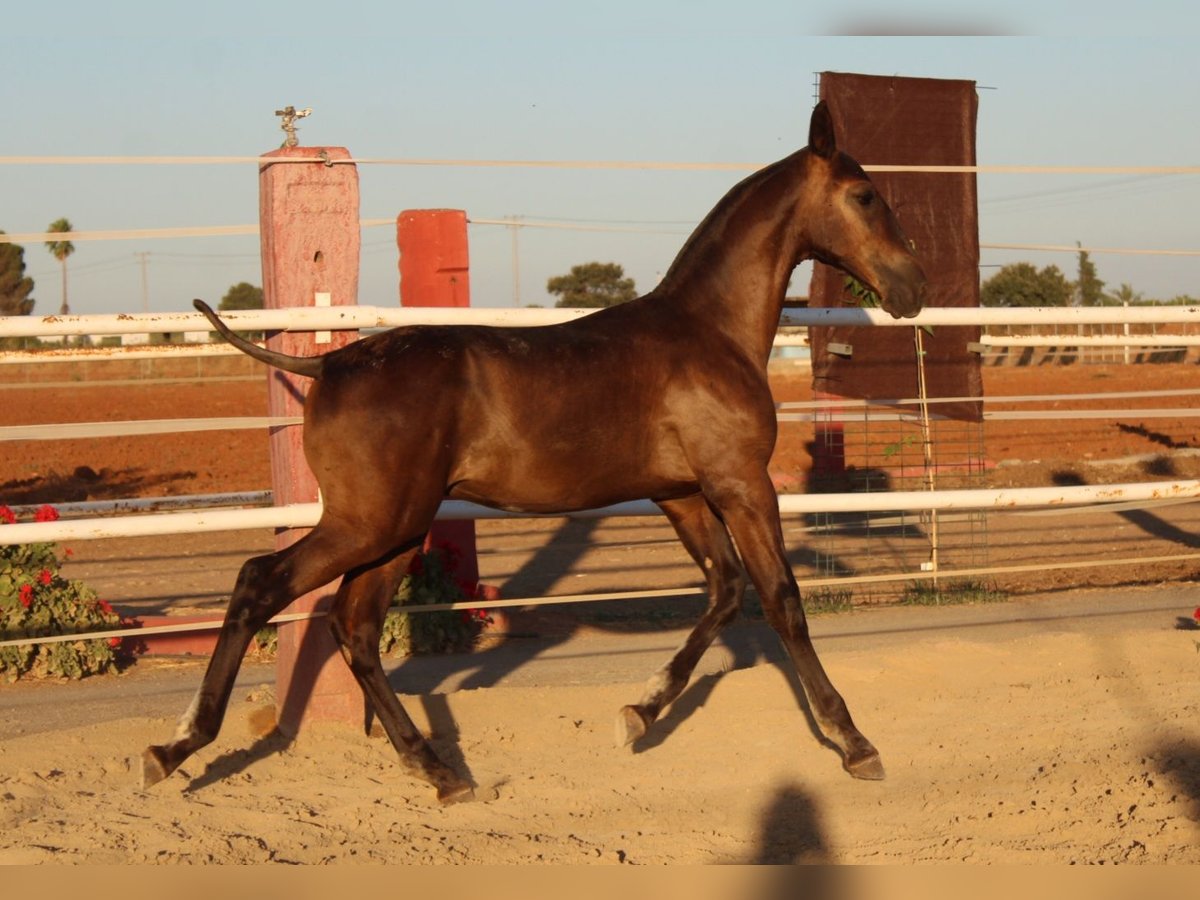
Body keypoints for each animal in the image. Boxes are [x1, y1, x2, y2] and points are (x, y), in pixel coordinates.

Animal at [142, 103, 926, 801]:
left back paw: (440, 773)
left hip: (393, 532)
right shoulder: (740, 483)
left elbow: (726, 591)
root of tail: (327, 365)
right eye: (864, 195)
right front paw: (854, 744)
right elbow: (782, 599)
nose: (912, 286)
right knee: (261, 584)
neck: (709, 332)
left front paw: (639, 715)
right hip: (372, 523)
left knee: (352, 628)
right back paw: (174, 748)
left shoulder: (682, 493)